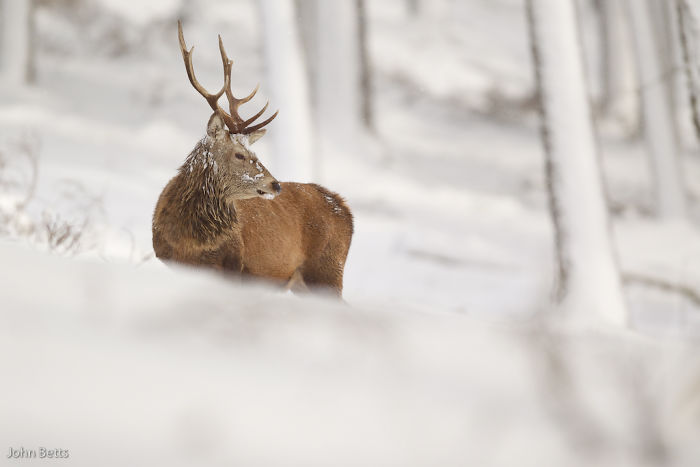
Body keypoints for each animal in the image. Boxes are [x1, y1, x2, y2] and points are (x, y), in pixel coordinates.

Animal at [152, 22, 353, 296]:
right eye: (240, 154)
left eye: (255, 154)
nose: (275, 184)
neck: (189, 242)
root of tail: (345, 209)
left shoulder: (233, 266)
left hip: (327, 270)